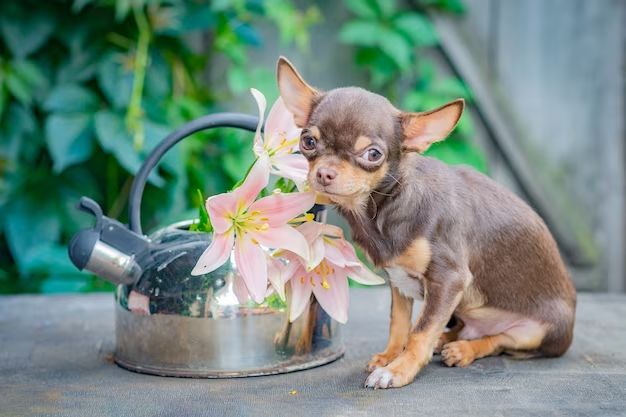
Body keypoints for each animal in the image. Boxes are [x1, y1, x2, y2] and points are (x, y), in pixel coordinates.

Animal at [276, 57, 576, 388]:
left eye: (372, 154)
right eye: (308, 141)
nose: (324, 173)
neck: (384, 208)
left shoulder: (449, 278)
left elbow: (420, 331)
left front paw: (398, 369)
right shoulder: (399, 281)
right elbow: (399, 323)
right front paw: (390, 356)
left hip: (535, 332)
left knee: (499, 340)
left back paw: (463, 349)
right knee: (463, 328)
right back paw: (449, 341)